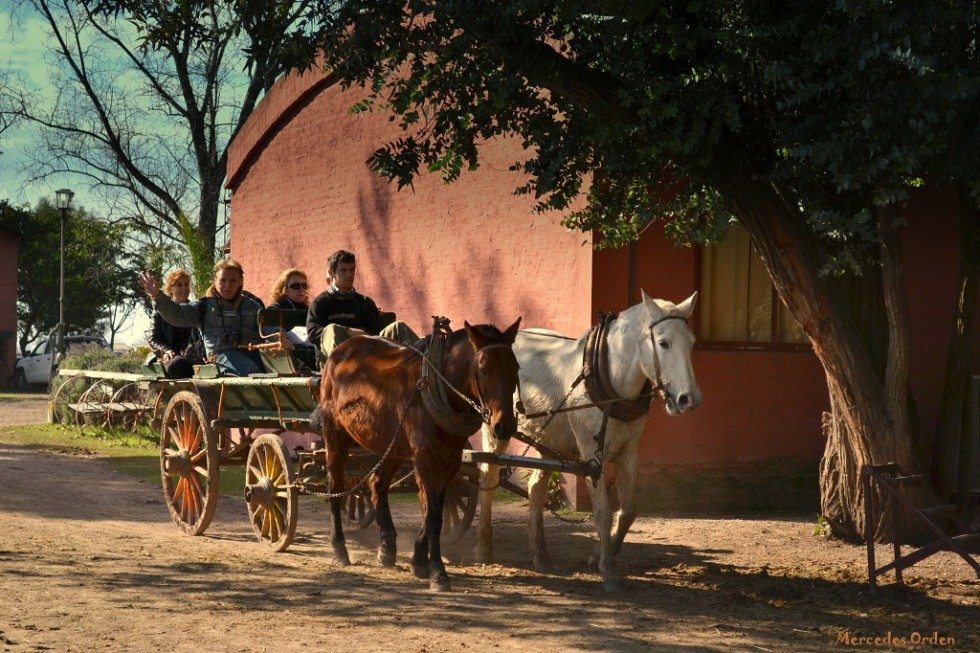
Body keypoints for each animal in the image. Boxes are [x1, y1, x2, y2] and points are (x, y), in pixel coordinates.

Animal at [320, 318, 520, 588]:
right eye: (484, 369)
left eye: (515, 367)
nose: (505, 426)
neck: (441, 389)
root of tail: (341, 350)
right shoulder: (425, 457)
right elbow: (433, 514)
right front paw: (437, 571)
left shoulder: (451, 459)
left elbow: (434, 511)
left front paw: (418, 561)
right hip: (335, 435)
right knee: (336, 489)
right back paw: (339, 550)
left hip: (392, 445)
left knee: (377, 484)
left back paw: (387, 548)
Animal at [476, 290, 700, 592]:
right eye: (663, 343)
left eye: (692, 342)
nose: (688, 400)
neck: (610, 382)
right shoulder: (592, 457)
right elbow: (603, 510)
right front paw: (607, 568)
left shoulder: (628, 453)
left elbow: (628, 510)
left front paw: (601, 555)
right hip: (495, 430)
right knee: (488, 476)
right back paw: (483, 548)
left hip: (548, 442)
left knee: (536, 488)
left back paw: (541, 555)